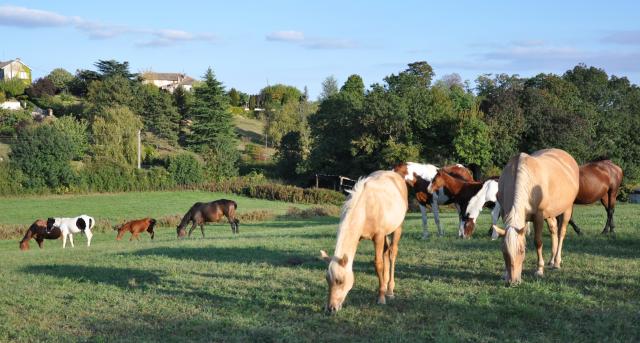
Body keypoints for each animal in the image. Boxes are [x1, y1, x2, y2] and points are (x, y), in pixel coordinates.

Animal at [320, 171, 410, 314]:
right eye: (327, 280)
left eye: (340, 281)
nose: (331, 308)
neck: (365, 208)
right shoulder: (360, 237)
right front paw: (382, 289)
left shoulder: (378, 237)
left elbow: (378, 264)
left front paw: (381, 297)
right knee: (386, 252)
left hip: (397, 228)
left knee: (392, 254)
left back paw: (390, 290)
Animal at [490, 149, 580, 286]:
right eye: (504, 252)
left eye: (522, 251)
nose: (513, 281)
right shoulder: (505, 212)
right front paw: (505, 273)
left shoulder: (538, 216)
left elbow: (538, 242)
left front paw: (539, 270)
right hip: (550, 213)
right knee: (553, 229)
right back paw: (551, 260)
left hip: (567, 209)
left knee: (561, 233)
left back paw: (557, 262)